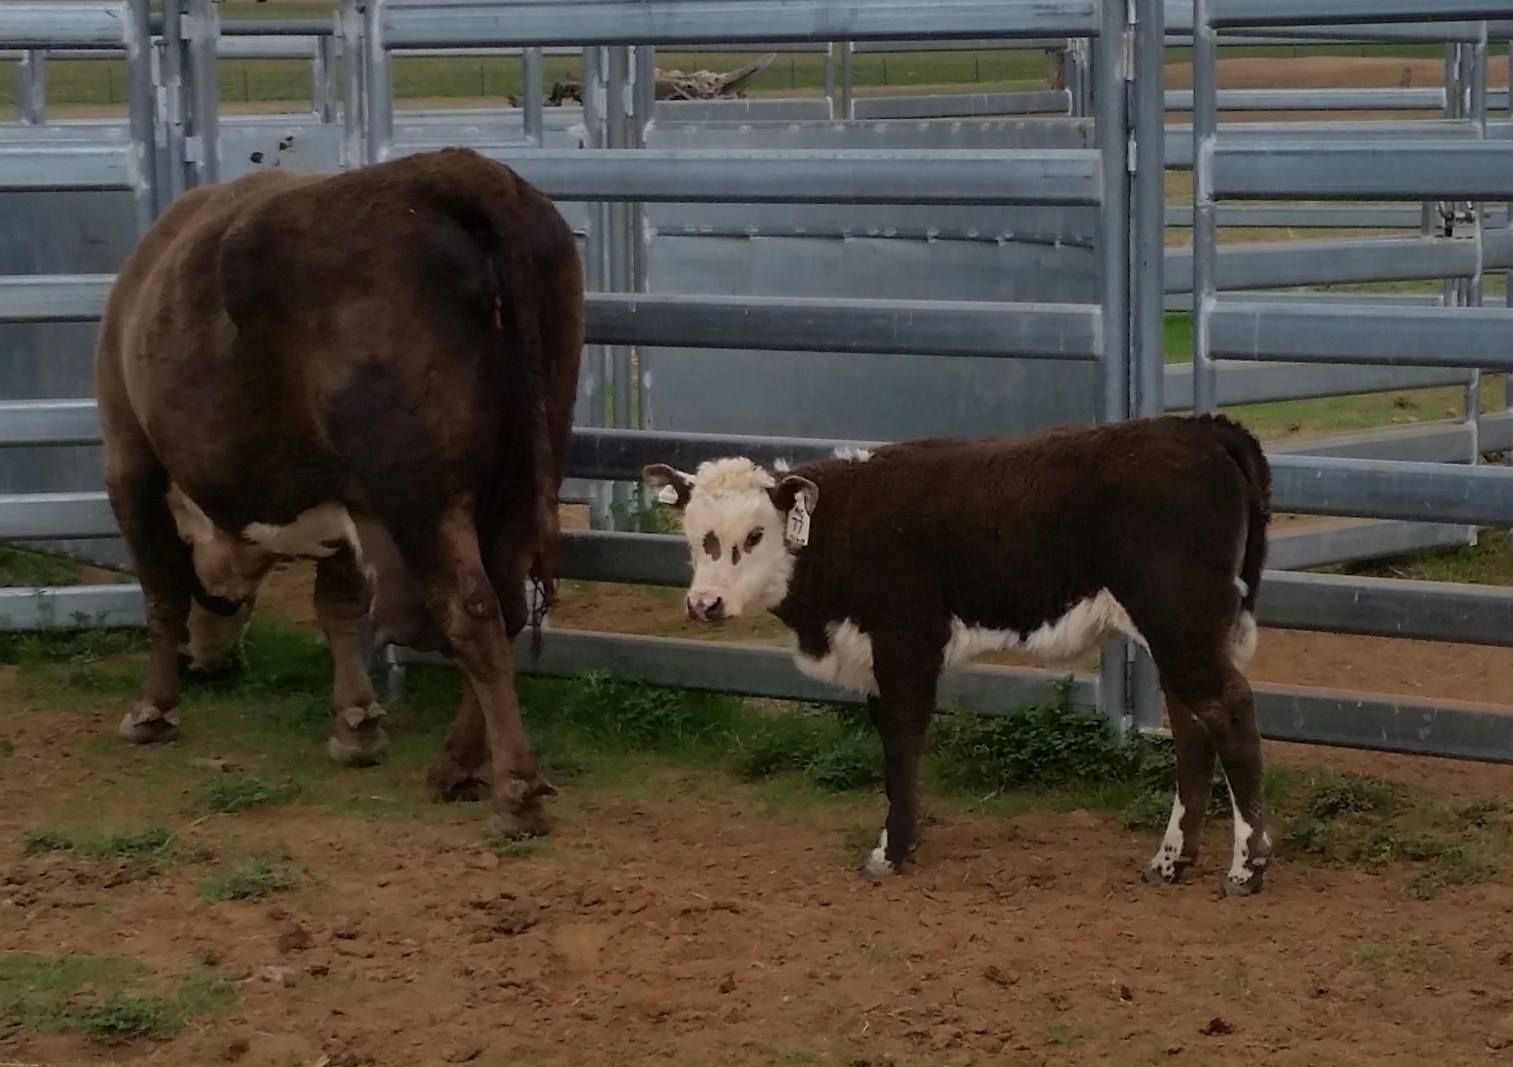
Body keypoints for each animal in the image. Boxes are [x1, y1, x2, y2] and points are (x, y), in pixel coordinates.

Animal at [94, 146, 583, 838]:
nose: (209, 664)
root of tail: (456, 171)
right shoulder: (346, 505)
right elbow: (340, 608)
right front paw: (356, 724)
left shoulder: (129, 460)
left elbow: (162, 594)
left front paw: (153, 709)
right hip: (519, 482)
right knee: (510, 610)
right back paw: (455, 765)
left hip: (422, 501)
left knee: (476, 615)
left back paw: (514, 790)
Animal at [643, 413, 1275, 895]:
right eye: (694, 534)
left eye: (754, 535)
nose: (705, 603)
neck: (848, 523)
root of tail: (1199, 428)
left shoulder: (906, 645)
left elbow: (902, 742)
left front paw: (890, 851)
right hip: (1177, 635)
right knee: (1193, 727)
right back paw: (1170, 862)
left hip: (1179, 623)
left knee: (1230, 709)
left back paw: (1247, 867)